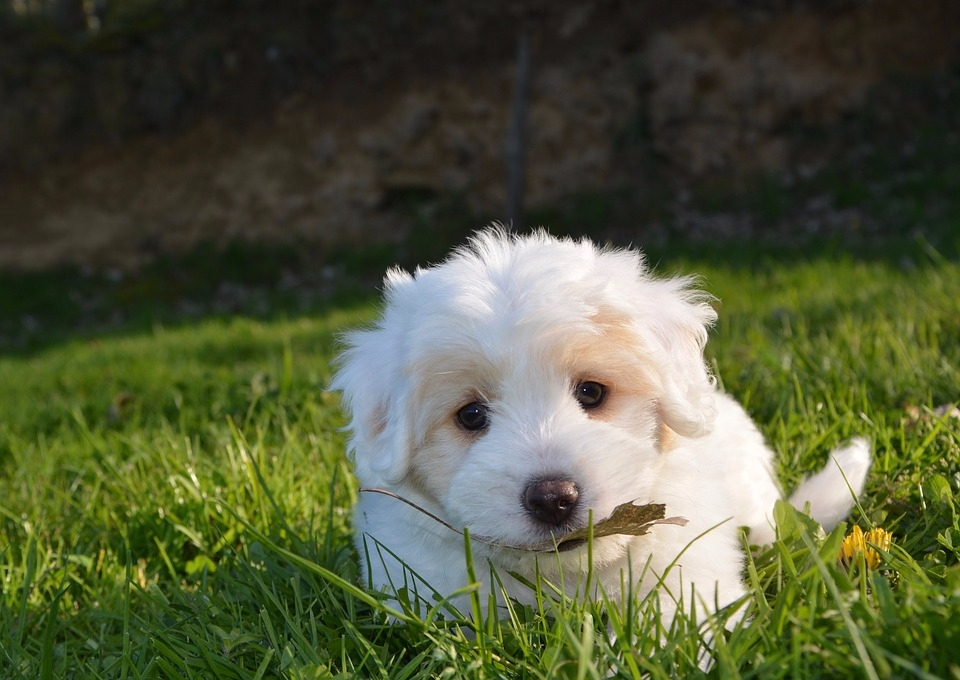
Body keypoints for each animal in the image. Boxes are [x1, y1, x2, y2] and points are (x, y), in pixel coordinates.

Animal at [334, 231, 872, 628]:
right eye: (470, 416)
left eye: (591, 392)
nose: (553, 498)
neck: (564, 578)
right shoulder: (421, 581)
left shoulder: (688, 576)